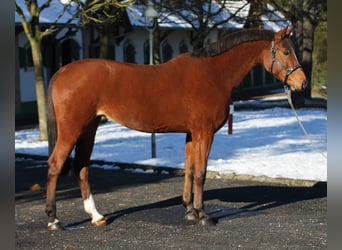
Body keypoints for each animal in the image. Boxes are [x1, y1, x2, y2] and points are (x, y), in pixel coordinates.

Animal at [46, 27, 308, 230]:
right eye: (286, 51)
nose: (302, 83)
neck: (213, 73)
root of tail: (62, 71)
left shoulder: (191, 133)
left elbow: (189, 170)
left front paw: (190, 211)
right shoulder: (204, 132)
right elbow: (201, 173)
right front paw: (203, 215)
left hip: (89, 128)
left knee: (81, 166)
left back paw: (96, 216)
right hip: (72, 130)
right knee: (55, 165)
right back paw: (54, 220)